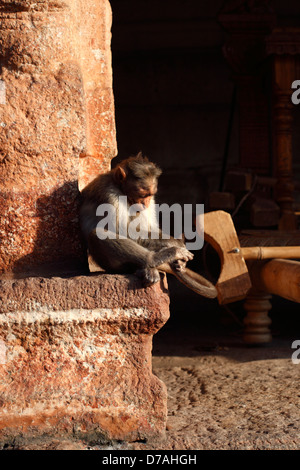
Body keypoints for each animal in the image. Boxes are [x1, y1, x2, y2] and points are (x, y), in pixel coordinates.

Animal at [78, 152, 217, 300]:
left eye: (149, 195)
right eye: (142, 194)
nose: (145, 204)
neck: (120, 189)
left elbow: (150, 227)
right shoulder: (109, 193)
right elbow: (118, 229)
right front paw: (176, 244)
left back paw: (150, 268)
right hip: (110, 264)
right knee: (97, 234)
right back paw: (155, 259)